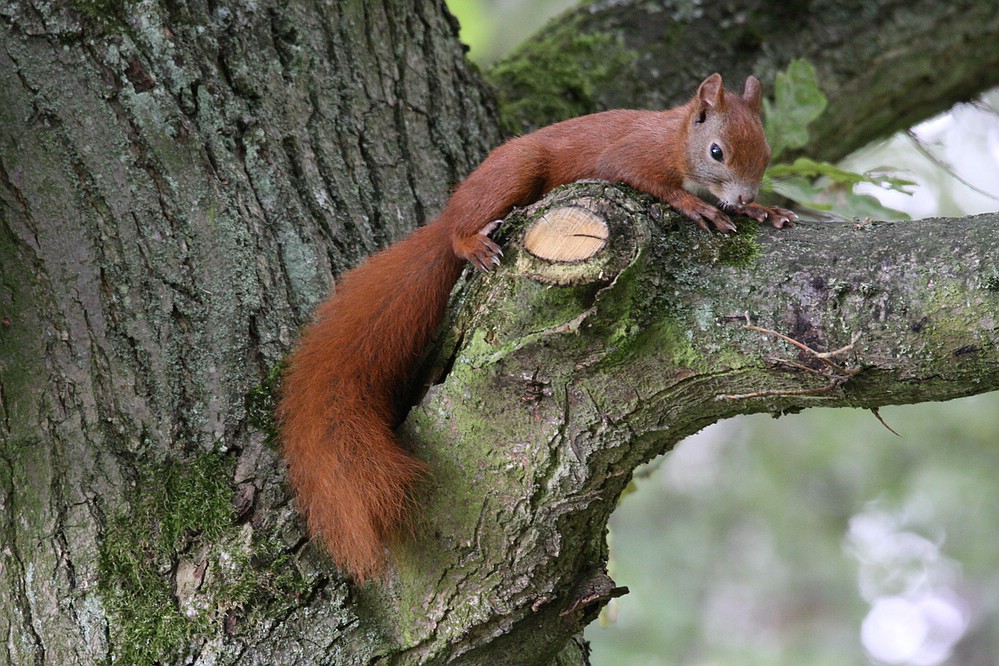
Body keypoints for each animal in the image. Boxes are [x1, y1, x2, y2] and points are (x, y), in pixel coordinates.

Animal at [278, 74, 792, 580]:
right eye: (717, 152)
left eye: (766, 152)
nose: (743, 197)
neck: (675, 137)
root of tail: (452, 208)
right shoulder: (632, 155)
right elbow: (639, 176)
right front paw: (696, 205)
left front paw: (761, 211)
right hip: (514, 171)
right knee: (457, 232)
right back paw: (470, 241)